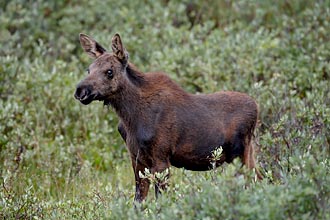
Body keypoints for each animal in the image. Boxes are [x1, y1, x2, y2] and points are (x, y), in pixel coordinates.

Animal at [74, 33, 260, 203]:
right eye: (88, 69)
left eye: (109, 71)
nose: (80, 91)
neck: (130, 118)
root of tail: (257, 107)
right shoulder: (137, 159)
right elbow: (138, 202)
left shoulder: (161, 158)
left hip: (240, 153)